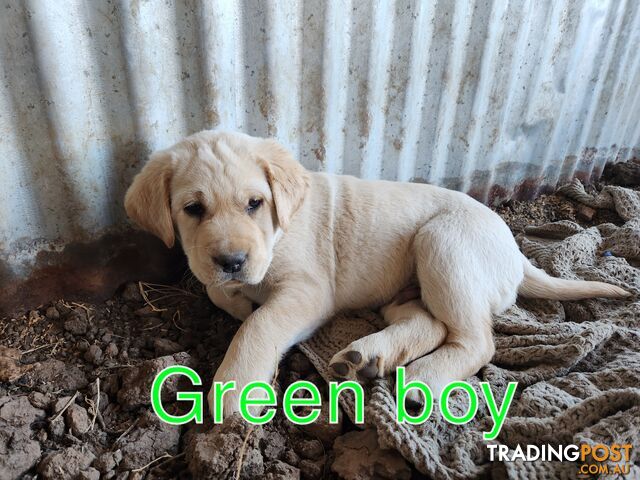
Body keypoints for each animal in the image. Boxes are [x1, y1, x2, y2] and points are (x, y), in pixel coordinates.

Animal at [125, 129, 632, 414]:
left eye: (255, 203)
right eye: (193, 209)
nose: (231, 262)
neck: (279, 230)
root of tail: (514, 249)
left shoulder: (309, 291)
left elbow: (259, 324)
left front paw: (235, 386)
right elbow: (222, 294)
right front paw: (235, 296)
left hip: (443, 243)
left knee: (477, 341)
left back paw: (423, 379)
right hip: (406, 288)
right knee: (430, 324)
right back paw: (367, 356)